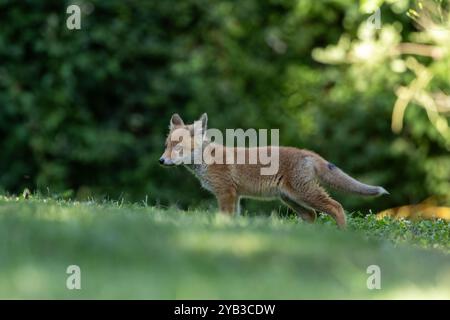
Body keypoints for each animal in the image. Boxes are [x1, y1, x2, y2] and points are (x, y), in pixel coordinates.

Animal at [160, 113, 388, 228]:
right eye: (166, 145)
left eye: (178, 147)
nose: (161, 161)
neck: (207, 159)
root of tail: (308, 153)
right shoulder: (236, 195)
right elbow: (235, 218)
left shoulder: (226, 193)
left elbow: (225, 217)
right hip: (290, 198)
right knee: (312, 215)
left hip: (304, 194)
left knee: (336, 207)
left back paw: (342, 235)